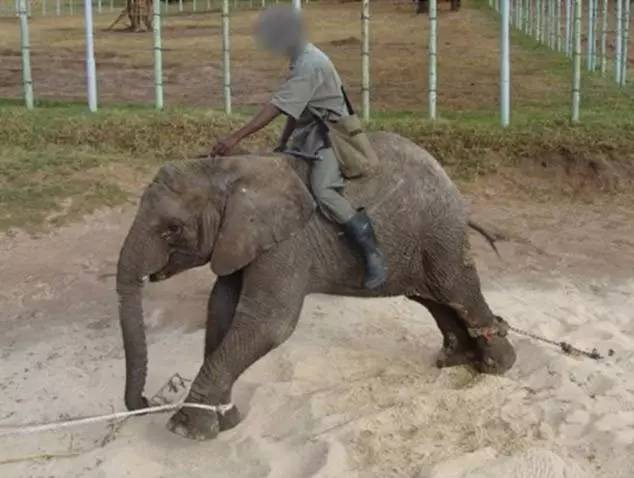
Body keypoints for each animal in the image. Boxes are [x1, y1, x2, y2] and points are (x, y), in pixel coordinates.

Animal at [116, 132, 516, 441]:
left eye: (172, 228)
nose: (146, 403)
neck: (230, 171)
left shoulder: (287, 243)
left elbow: (270, 323)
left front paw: (184, 429)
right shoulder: (238, 240)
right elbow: (221, 309)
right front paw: (226, 420)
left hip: (438, 232)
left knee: (456, 288)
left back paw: (497, 366)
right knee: (432, 297)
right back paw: (457, 361)